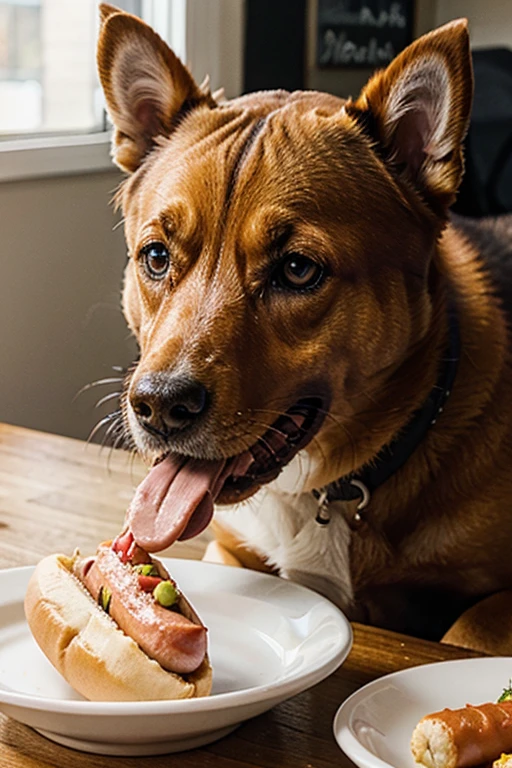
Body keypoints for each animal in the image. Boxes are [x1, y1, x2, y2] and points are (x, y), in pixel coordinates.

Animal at [99, 4, 512, 656]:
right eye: (157, 257)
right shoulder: (229, 553)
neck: (326, 488)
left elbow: (469, 627)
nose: (159, 407)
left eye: (297, 269)